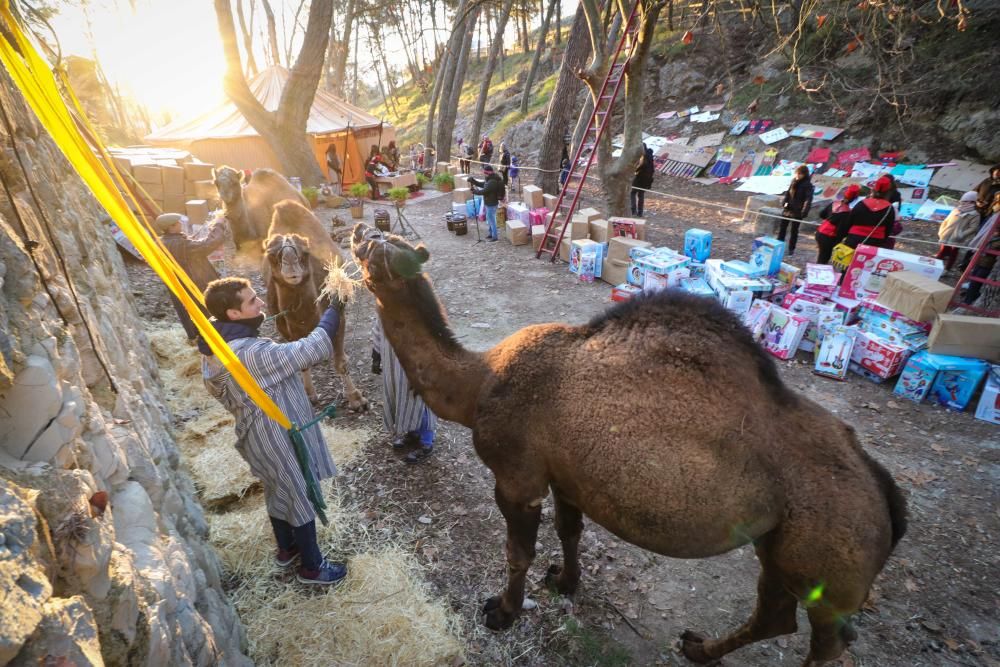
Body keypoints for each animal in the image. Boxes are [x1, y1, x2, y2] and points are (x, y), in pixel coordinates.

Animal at [262, 201, 368, 412]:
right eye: (271, 255)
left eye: (305, 253)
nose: (290, 264)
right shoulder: (288, 329)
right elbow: (300, 362)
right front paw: (310, 395)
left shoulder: (338, 317)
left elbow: (340, 362)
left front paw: (356, 399)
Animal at [350, 226, 908, 667]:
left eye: (380, 249)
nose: (358, 228)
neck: (478, 383)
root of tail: (885, 494)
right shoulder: (565, 476)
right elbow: (570, 531)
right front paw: (565, 581)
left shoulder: (517, 476)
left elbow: (517, 553)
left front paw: (501, 612)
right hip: (781, 547)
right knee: (775, 616)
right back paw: (697, 648)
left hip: (827, 561)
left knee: (827, 641)